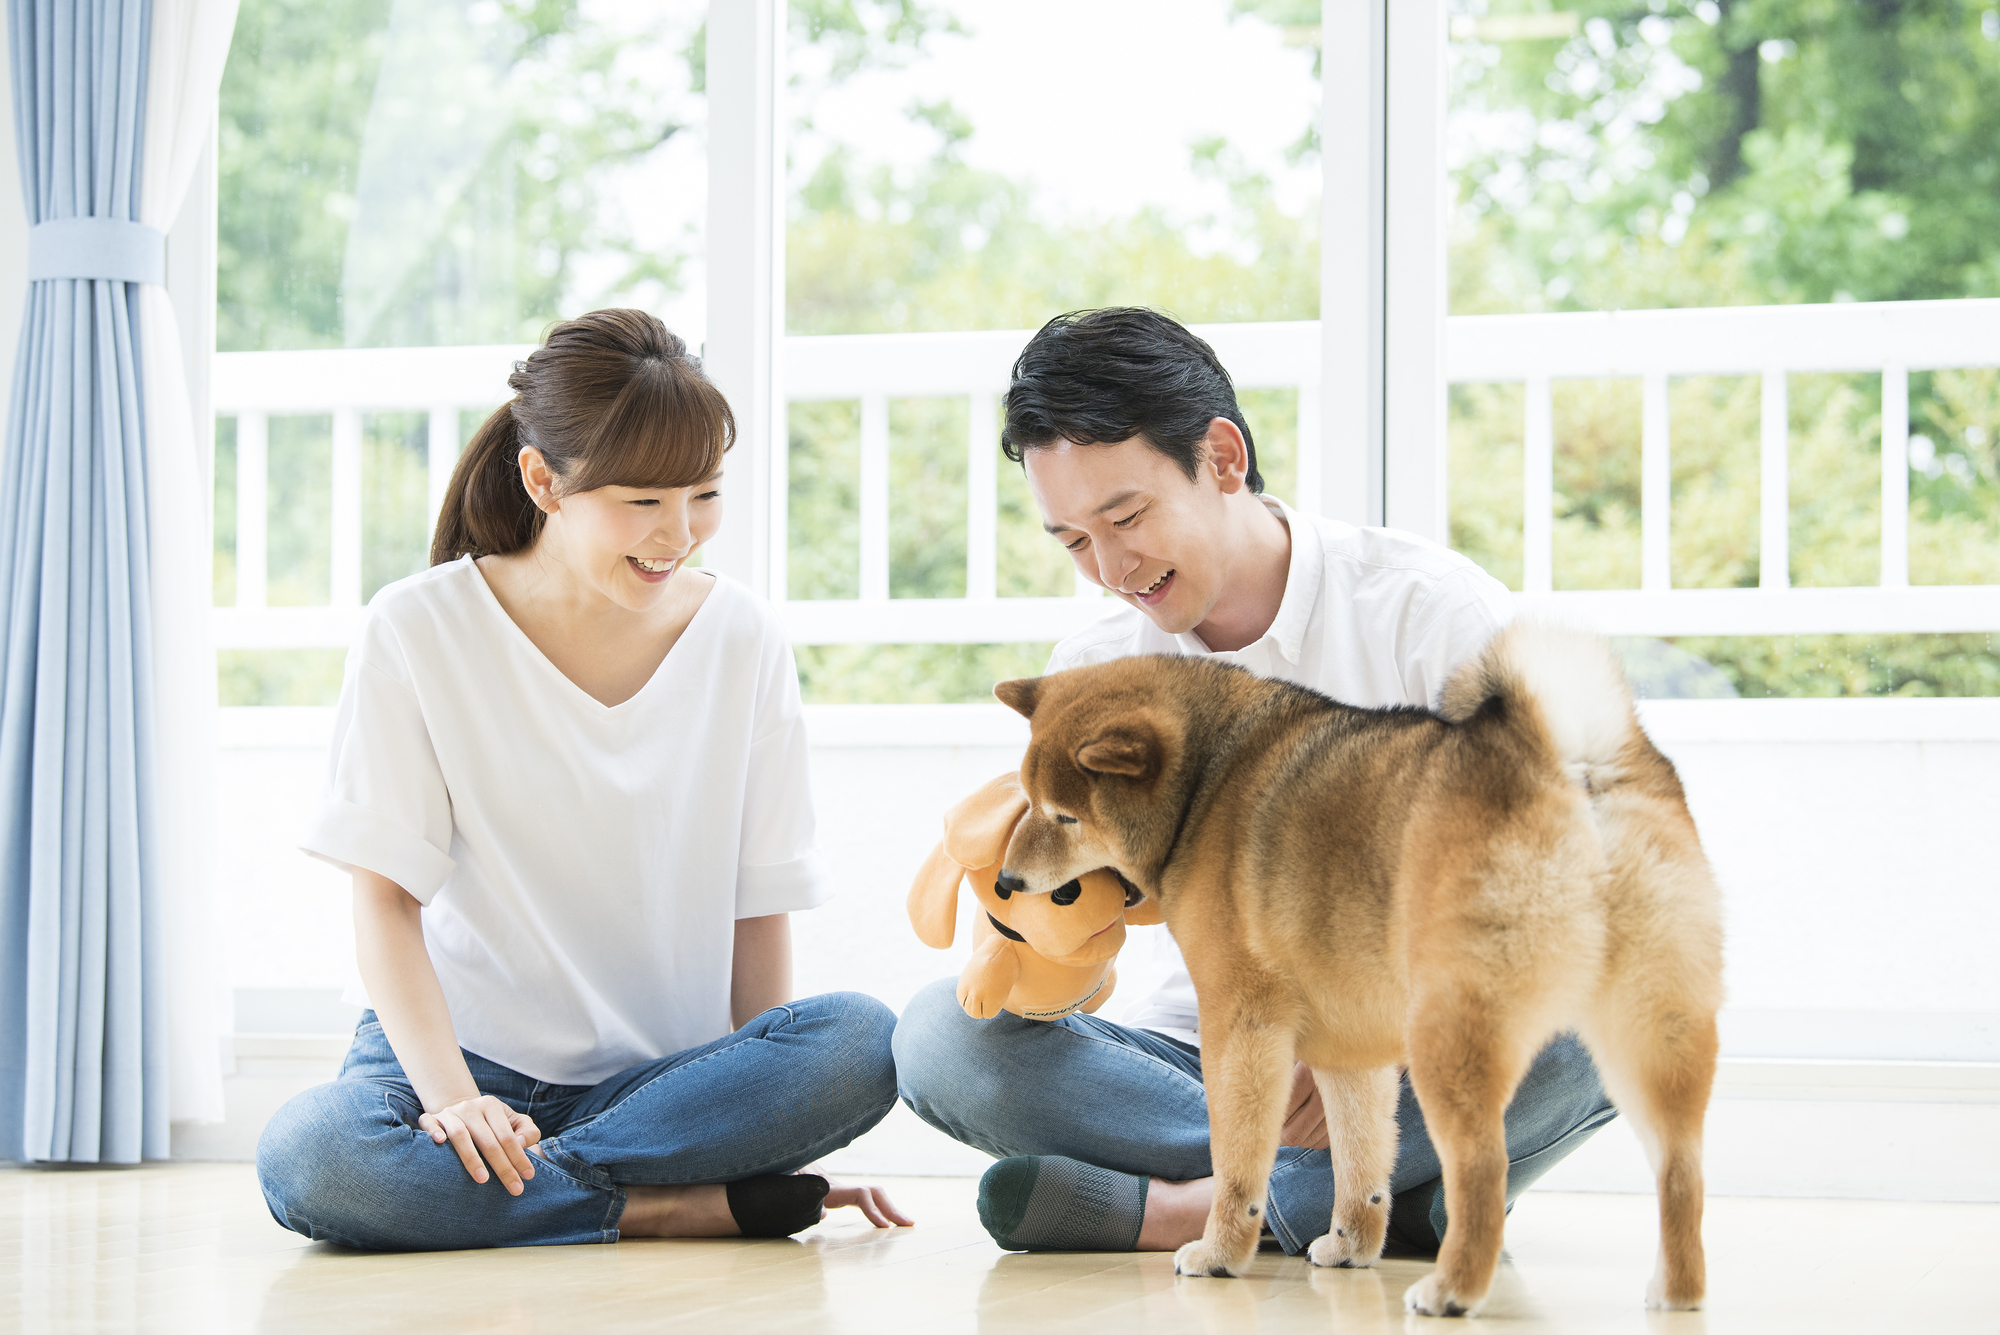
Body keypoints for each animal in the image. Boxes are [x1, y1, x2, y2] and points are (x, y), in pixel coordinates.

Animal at [984, 623, 1720, 1311]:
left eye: (1064, 816)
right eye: (1027, 799)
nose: (1007, 881)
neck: (1206, 783)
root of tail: (1570, 764)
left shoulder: (1240, 1023)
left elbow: (1238, 1160)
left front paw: (1221, 1252)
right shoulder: (1351, 1050)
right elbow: (1361, 1161)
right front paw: (1352, 1246)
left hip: (1451, 1037)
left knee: (1483, 1167)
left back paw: (1452, 1287)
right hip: (1652, 1034)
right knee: (1681, 1168)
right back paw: (1677, 1289)